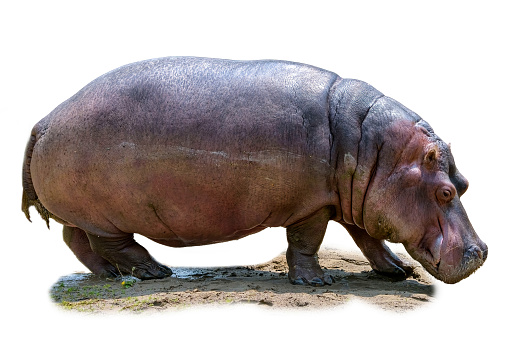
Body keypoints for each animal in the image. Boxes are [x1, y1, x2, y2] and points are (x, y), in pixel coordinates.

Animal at [21, 57, 486, 286]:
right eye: (445, 192)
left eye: (464, 183)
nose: (481, 252)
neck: (378, 151)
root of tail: (44, 120)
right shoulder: (313, 206)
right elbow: (307, 242)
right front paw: (316, 284)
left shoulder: (358, 200)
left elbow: (370, 240)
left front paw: (397, 271)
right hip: (106, 214)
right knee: (111, 243)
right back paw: (153, 272)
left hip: (82, 211)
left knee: (75, 240)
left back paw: (110, 276)